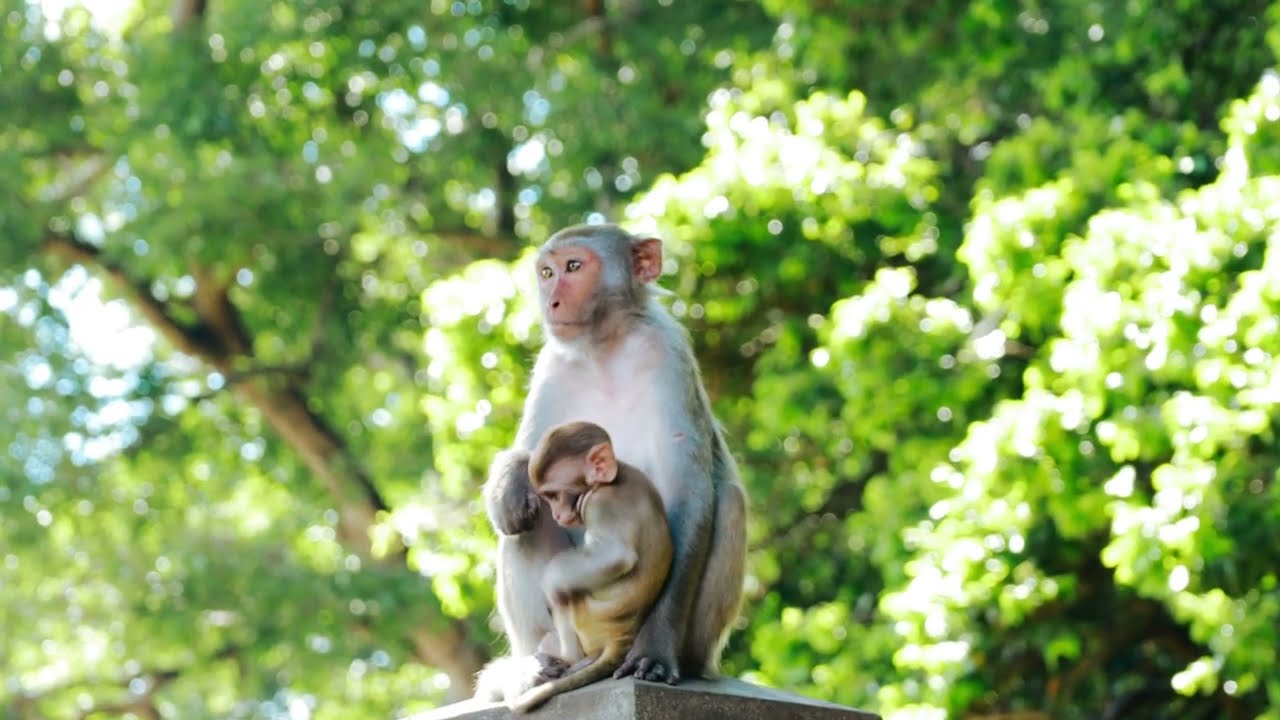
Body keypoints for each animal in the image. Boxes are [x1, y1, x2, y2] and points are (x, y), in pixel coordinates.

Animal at [506, 421, 672, 713]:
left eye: (553, 494)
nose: (556, 514)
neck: (616, 479)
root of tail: (620, 639)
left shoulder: (600, 505)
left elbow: (616, 555)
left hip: (585, 622)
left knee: (562, 595)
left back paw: (569, 659)